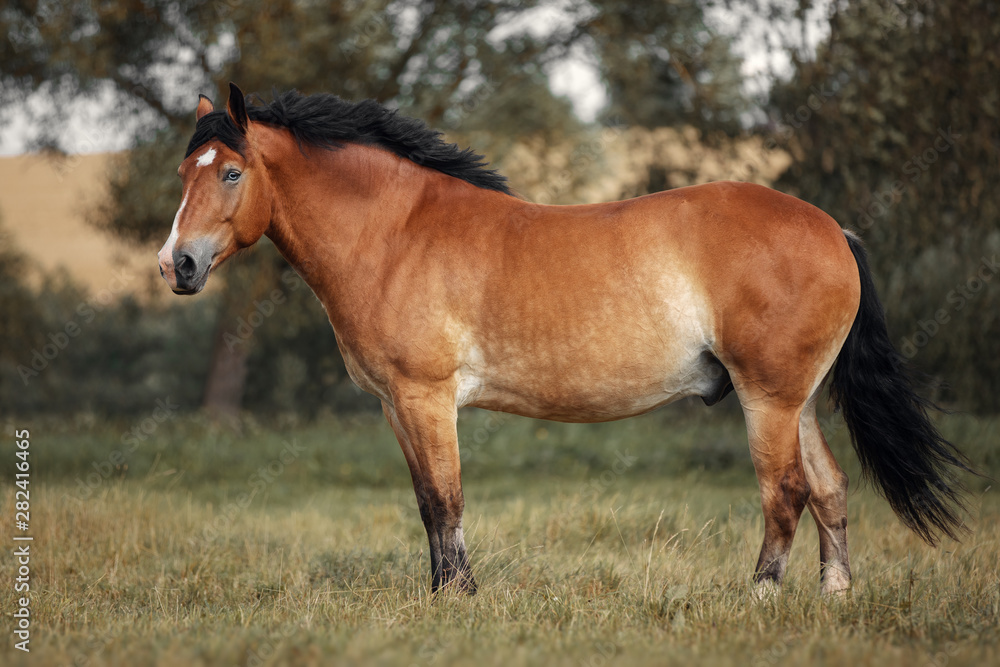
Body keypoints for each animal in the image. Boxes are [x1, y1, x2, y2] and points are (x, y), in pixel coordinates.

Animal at [158, 83, 971, 596]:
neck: (395, 232)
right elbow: (426, 502)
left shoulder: (427, 398)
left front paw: (458, 599)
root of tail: (832, 228)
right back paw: (834, 597)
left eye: (231, 172)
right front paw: (441, 594)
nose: (177, 265)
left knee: (787, 493)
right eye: (184, 171)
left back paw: (761, 597)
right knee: (829, 489)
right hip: (795, 400)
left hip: (768, 399)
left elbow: (446, 498)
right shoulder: (396, 406)